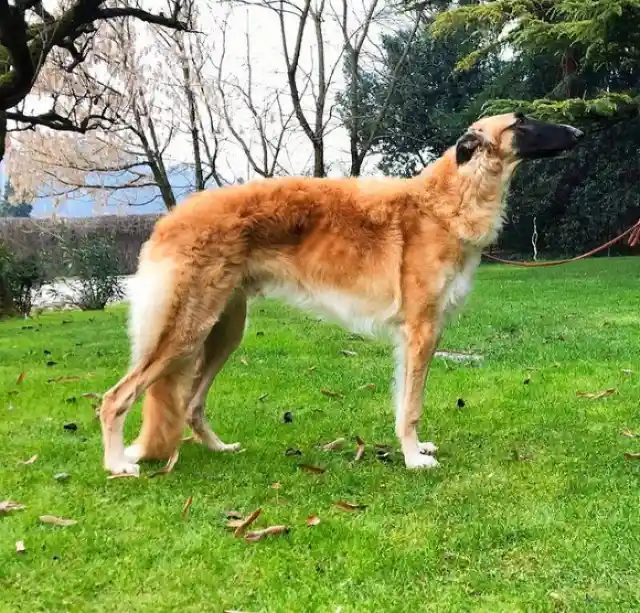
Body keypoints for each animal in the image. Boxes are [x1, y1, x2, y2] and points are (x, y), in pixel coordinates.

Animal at [99, 113, 580, 474]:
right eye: (522, 121)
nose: (578, 132)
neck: (444, 203)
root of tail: (168, 220)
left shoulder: (417, 336)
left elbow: (404, 401)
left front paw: (415, 448)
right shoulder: (422, 329)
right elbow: (411, 406)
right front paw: (413, 459)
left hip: (223, 330)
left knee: (192, 403)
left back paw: (218, 448)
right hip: (185, 331)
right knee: (114, 398)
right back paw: (118, 463)